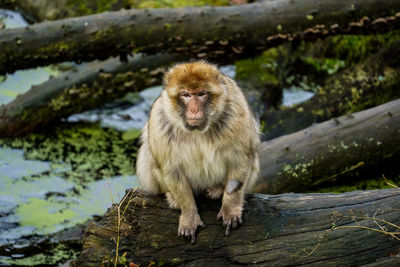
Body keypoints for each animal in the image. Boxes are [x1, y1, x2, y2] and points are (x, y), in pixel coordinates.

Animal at [136, 61, 260, 245]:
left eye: (201, 94)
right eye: (186, 95)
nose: (194, 110)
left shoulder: (236, 112)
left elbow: (240, 159)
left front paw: (230, 208)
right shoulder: (160, 120)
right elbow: (171, 169)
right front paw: (189, 216)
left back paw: (217, 189)